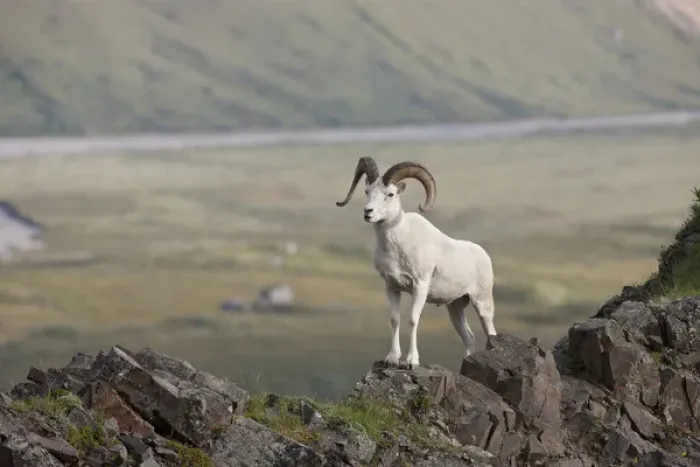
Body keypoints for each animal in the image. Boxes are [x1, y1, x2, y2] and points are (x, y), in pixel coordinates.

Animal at [335, 157, 497, 369]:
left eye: (390, 194)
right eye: (367, 191)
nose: (368, 212)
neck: (399, 244)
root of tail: (484, 256)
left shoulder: (420, 286)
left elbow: (413, 320)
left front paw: (411, 361)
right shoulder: (391, 287)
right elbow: (395, 320)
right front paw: (392, 359)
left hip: (482, 303)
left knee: (491, 334)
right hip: (455, 308)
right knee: (468, 337)